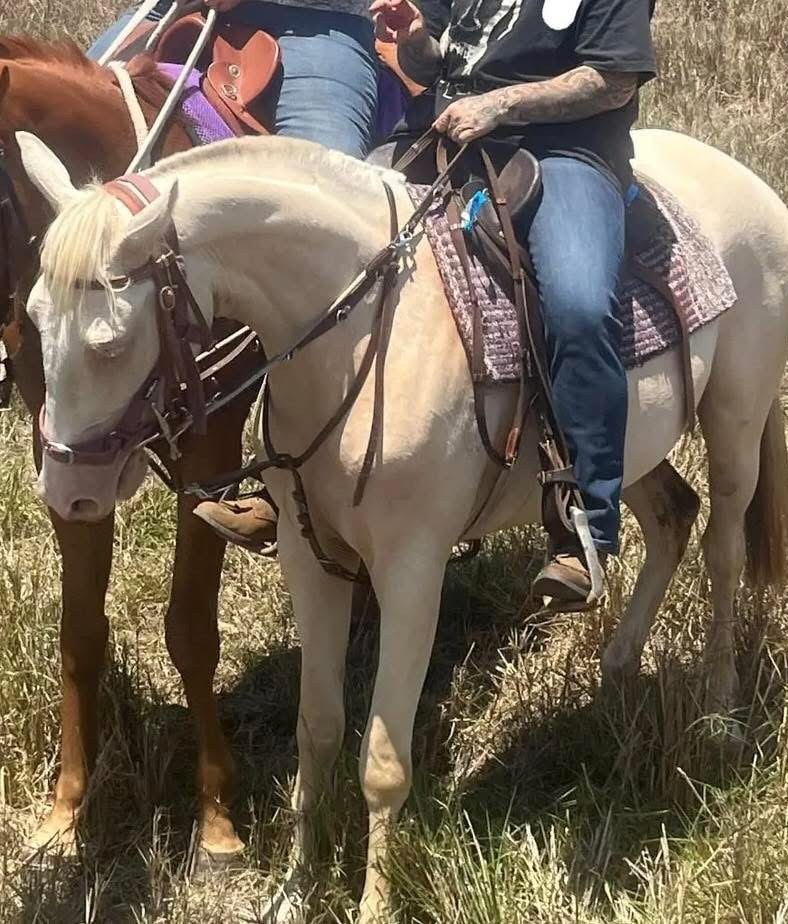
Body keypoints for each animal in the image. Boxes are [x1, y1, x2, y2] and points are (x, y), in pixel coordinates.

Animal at [0, 38, 256, 867]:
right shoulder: (66, 461)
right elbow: (78, 634)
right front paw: (64, 813)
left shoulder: (210, 454)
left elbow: (191, 629)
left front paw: (216, 813)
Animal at [18, 129, 788, 922]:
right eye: (35, 318)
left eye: (109, 344)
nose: (68, 494)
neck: (361, 340)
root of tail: (745, 180)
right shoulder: (309, 561)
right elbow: (318, 731)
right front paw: (294, 892)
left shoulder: (412, 574)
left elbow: (383, 761)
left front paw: (372, 905)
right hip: (632, 448)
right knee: (670, 517)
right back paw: (616, 664)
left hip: (736, 421)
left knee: (723, 548)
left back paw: (720, 715)